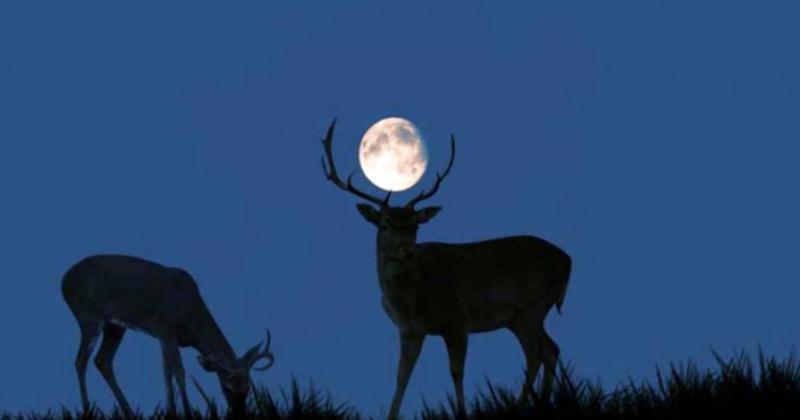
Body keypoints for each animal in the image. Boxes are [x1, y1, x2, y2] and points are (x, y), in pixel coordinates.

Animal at [61, 254, 274, 418]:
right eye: (227, 387)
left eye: (248, 387)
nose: (239, 413)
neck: (193, 321)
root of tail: (64, 281)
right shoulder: (167, 329)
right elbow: (178, 371)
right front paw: (187, 412)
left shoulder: (162, 336)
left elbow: (166, 371)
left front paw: (170, 410)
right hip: (89, 316)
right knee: (81, 361)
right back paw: (87, 410)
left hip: (114, 326)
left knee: (102, 360)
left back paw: (129, 411)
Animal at [320, 119, 572, 419]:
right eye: (384, 225)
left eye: (415, 226)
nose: (407, 250)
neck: (412, 298)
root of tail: (568, 261)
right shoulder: (410, 329)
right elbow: (402, 376)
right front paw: (391, 415)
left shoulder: (457, 320)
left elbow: (456, 372)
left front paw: (461, 412)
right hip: (519, 317)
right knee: (549, 350)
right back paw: (538, 401)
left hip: (532, 307)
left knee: (538, 353)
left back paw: (525, 403)